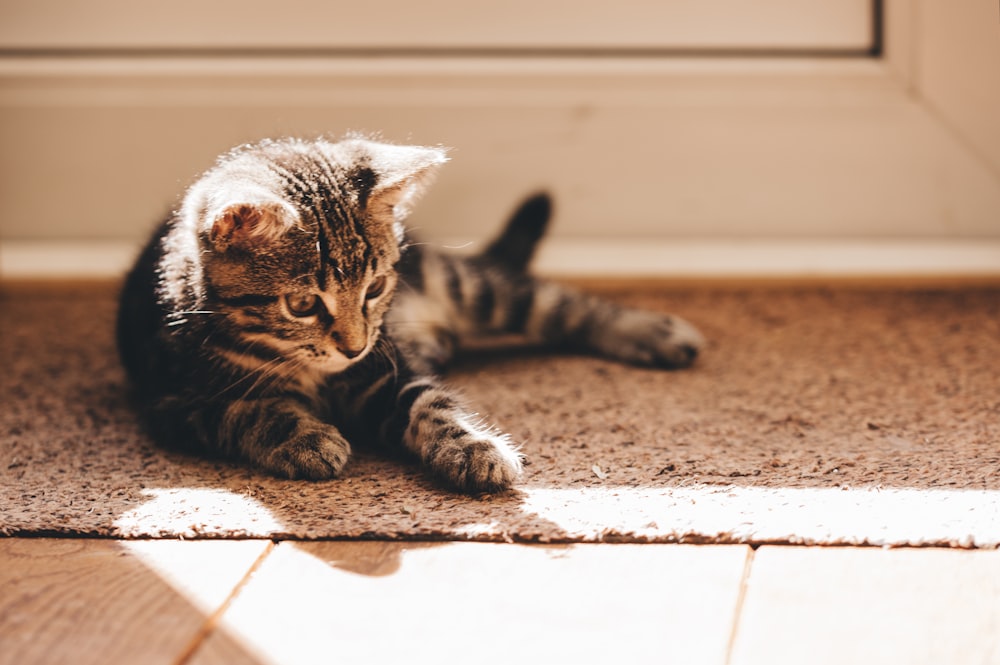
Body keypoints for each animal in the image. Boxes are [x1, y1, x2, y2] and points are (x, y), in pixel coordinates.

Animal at [117, 136, 704, 492]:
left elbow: (431, 403)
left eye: (375, 288)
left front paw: (470, 445)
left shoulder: (386, 369)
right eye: (302, 304)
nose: (353, 345)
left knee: (559, 305)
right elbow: (247, 409)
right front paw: (303, 436)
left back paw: (652, 330)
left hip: (464, 284)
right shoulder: (173, 401)